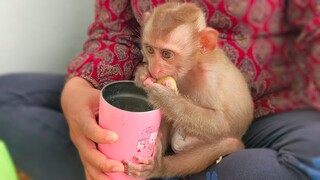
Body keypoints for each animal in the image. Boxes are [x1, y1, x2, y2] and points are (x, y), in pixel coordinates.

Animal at [125, 2, 252, 179]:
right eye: (150, 50)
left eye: (166, 54)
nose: (154, 69)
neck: (193, 67)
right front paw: (142, 75)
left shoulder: (212, 81)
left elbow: (222, 124)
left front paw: (167, 99)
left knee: (230, 142)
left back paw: (158, 167)